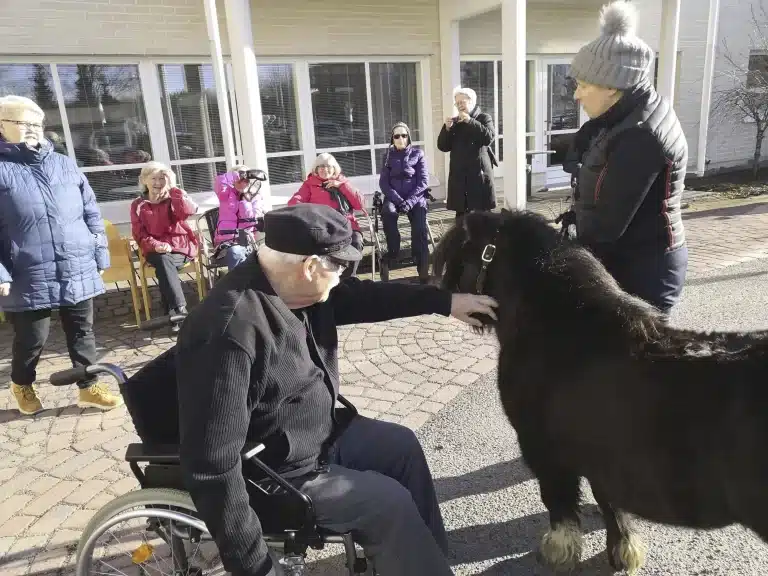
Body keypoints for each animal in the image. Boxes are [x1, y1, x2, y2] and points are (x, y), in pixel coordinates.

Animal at [432, 210, 768, 576]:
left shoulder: (543, 450)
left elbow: (560, 504)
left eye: (457, 249)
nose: (444, 290)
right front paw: (624, 550)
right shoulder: (601, 457)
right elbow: (610, 502)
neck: (560, 327)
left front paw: (560, 554)